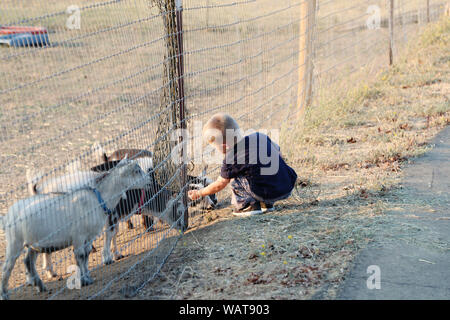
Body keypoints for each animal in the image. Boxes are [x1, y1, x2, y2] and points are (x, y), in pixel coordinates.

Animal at [0, 159, 147, 298]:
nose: (149, 181)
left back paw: (40, 286)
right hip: (14, 242)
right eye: (136, 171)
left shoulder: (90, 236)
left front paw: (87, 277)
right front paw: (83, 280)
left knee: (28, 261)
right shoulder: (79, 236)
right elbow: (80, 255)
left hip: (33, 244)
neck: (97, 200)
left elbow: (86, 254)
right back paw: (5, 294)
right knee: (7, 267)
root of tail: (7, 216)